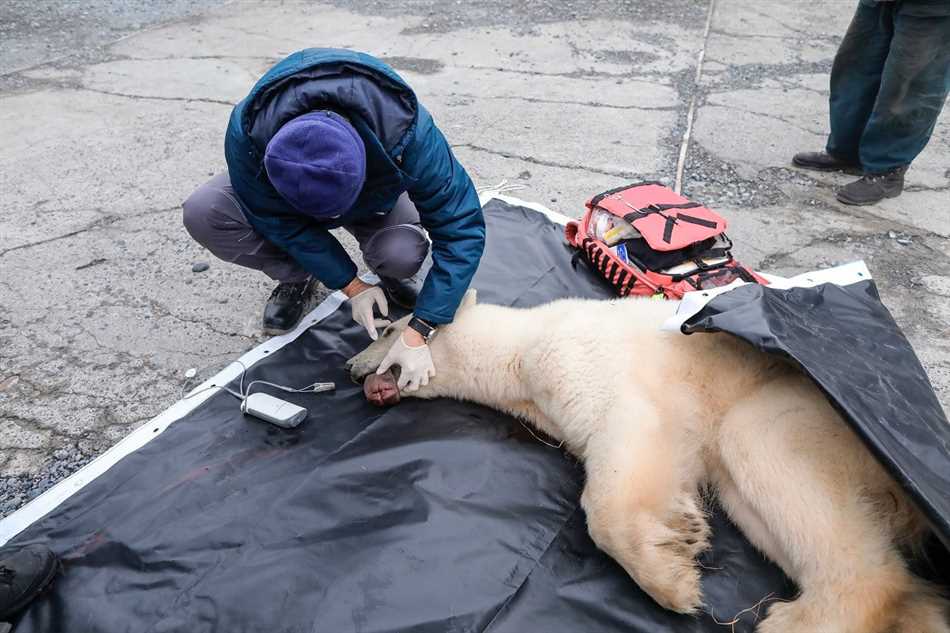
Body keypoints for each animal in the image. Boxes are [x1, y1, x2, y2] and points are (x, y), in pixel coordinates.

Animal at [346, 292, 948, 632]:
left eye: (391, 329)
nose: (353, 367)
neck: (521, 346)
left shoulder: (579, 359)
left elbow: (628, 445)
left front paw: (671, 580)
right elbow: (667, 465)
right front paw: (684, 531)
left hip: (800, 413)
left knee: (758, 449)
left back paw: (797, 623)